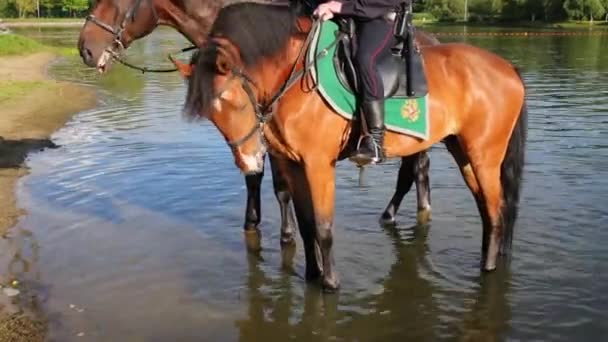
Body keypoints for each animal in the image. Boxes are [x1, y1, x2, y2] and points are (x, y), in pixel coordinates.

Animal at [76, 0, 440, 248]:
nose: (85, 49)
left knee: (414, 171)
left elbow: (279, 187)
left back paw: (396, 214)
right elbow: (256, 177)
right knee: (417, 171)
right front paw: (253, 223)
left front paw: (285, 235)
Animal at [185, 2, 528, 292]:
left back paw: (487, 269)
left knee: (495, 211)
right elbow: (306, 224)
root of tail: (508, 68)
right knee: (487, 209)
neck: (293, 74)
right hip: (465, 153)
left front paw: (330, 283)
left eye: (228, 100)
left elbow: (323, 228)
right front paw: (312, 274)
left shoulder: (319, 165)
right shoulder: (294, 163)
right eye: (210, 114)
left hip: (485, 158)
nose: (249, 160)